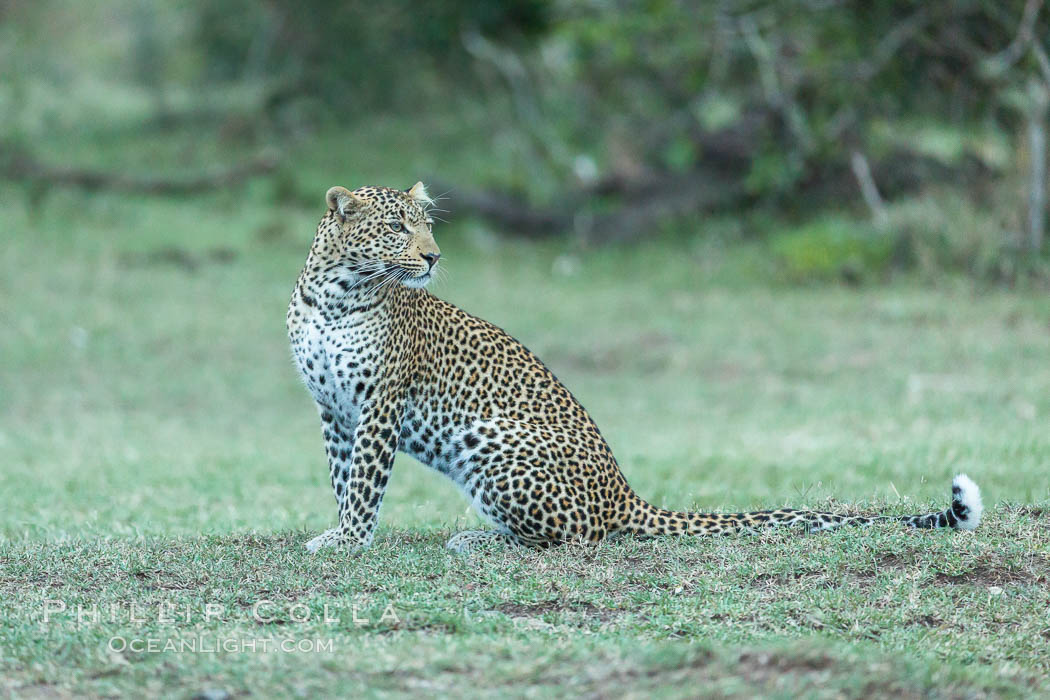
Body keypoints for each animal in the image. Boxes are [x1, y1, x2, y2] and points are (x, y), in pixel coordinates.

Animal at [285, 183, 982, 554]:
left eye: (425, 226)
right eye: (395, 228)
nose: (432, 256)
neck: (336, 294)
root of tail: (626, 491)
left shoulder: (380, 402)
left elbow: (365, 484)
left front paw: (347, 543)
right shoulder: (332, 409)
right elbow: (343, 478)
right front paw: (338, 533)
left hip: (491, 439)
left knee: (578, 536)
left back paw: (479, 540)